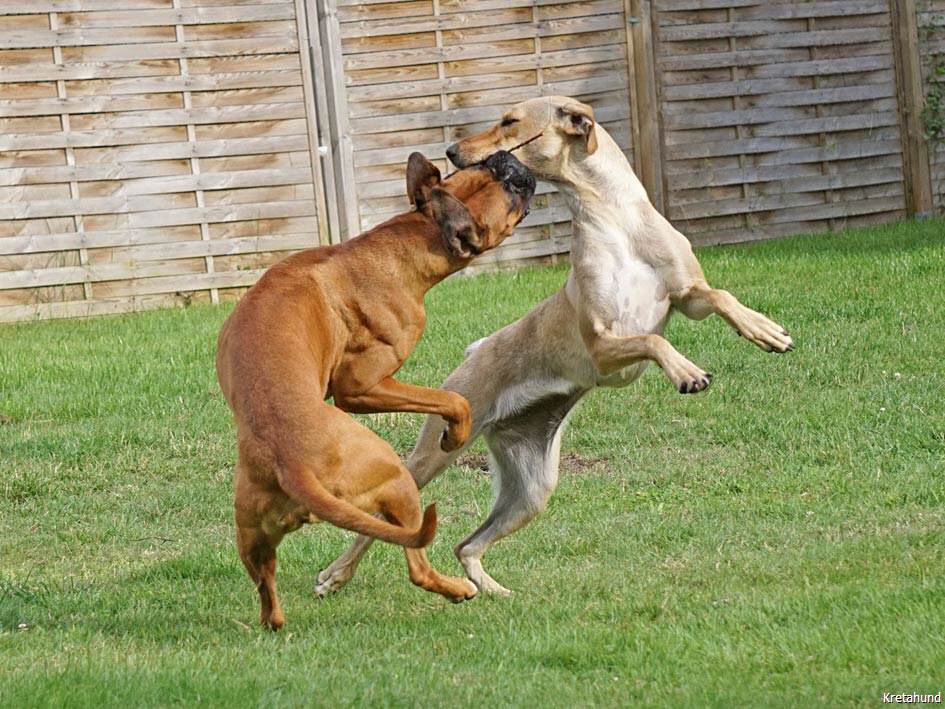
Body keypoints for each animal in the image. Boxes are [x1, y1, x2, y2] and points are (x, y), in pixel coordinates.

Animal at [216, 150, 535, 628]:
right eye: (507, 194)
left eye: (478, 172)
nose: (509, 162)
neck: (402, 246)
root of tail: (292, 464)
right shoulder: (361, 389)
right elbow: (453, 399)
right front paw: (454, 435)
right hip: (398, 480)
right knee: (418, 564)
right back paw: (458, 589)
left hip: (253, 534)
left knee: (267, 595)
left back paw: (277, 619)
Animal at [314, 95, 793, 598]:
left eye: (509, 121)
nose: (450, 151)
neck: (616, 222)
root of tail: (474, 354)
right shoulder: (602, 343)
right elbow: (652, 338)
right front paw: (687, 372)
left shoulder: (687, 296)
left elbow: (717, 297)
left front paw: (765, 330)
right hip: (436, 455)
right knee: (379, 524)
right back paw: (334, 575)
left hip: (532, 489)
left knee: (467, 544)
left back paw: (494, 592)